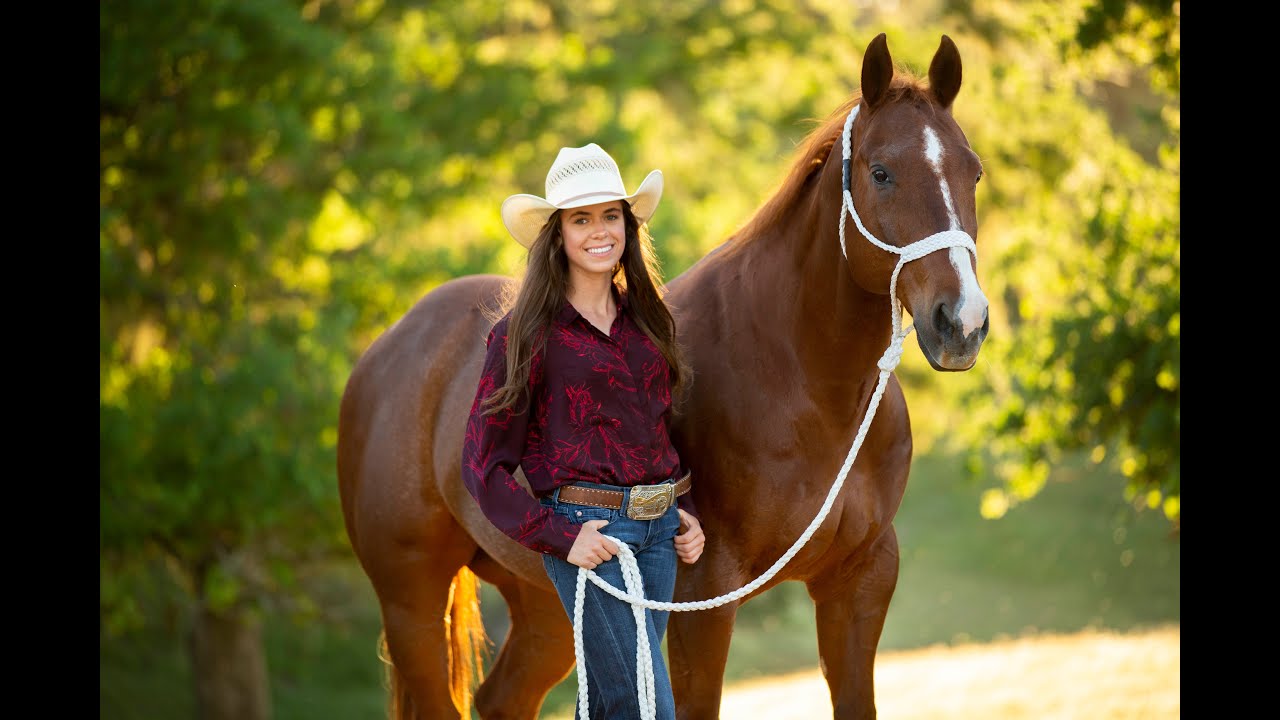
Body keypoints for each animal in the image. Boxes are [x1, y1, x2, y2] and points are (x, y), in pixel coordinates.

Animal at [337, 32, 988, 720]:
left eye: (972, 171)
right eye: (881, 172)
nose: (962, 321)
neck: (806, 388)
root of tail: (390, 347)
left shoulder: (861, 580)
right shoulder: (702, 599)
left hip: (547, 606)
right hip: (411, 602)